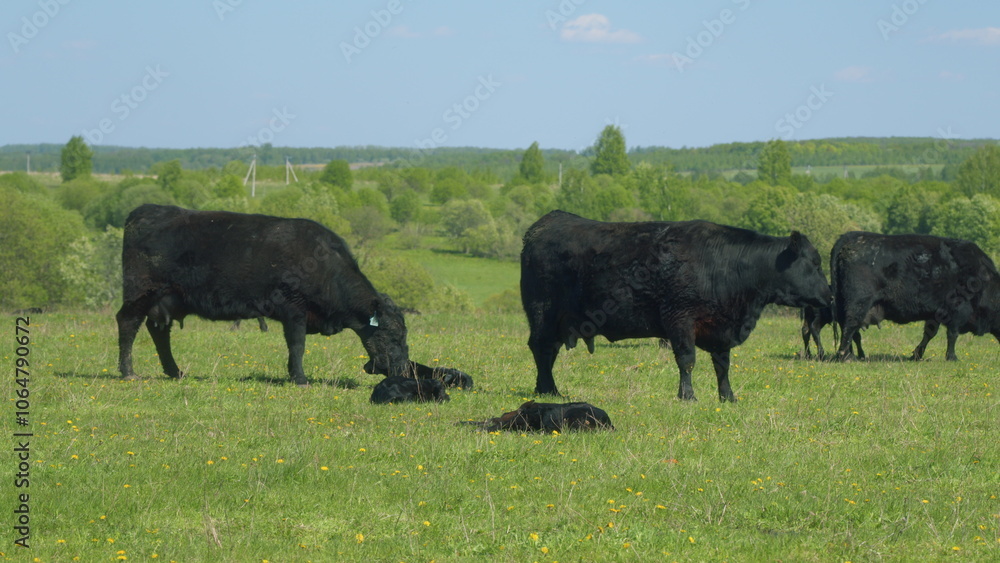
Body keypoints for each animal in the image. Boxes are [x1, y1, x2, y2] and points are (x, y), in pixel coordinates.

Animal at [116, 204, 412, 386]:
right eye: (392, 335)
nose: (403, 370)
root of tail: (147, 209)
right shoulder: (294, 308)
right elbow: (297, 345)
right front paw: (300, 378)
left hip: (166, 300)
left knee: (158, 332)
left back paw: (175, 371)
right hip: (140, 292)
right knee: (127, 323)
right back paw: (128, 372)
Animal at [520, 210, 832, 402]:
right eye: (816, 263)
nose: (830, 296)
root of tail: (546, 223)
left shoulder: (720, 327)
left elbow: (723, 365)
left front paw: (727, 396)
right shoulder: (680, 319)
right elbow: (687, 359)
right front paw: (688, 396)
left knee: (549, 352)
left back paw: (544, 390)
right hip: (542, 313)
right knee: (541, 349)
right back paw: (549, 389)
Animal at [831, 231, 1000, 361]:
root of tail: (852, 237)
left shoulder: (936, 314)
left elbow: (930, 333)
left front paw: (916, 355)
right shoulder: (957, 311)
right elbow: (952, 335)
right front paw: (952, 357)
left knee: (850, 329)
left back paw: (854, 355)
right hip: (859, 303)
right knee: (850, 325)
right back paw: (846, 356)